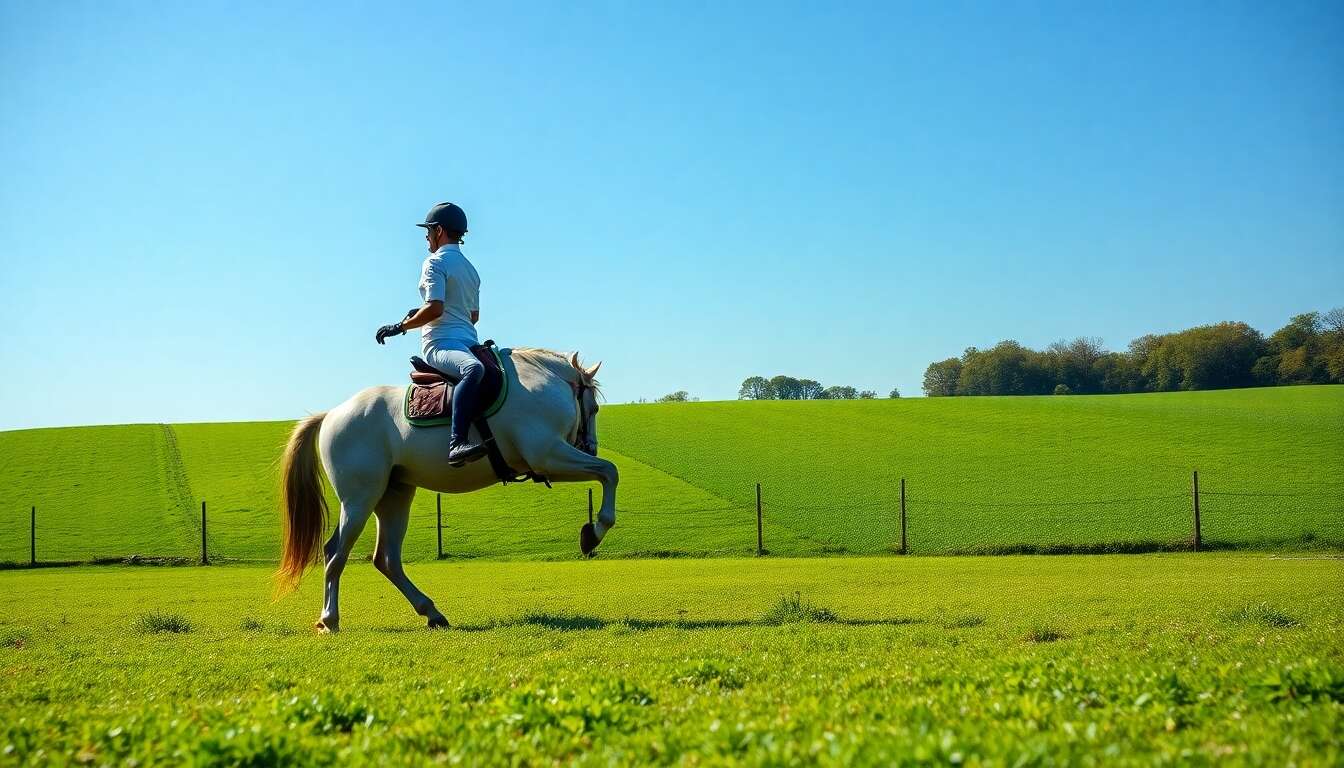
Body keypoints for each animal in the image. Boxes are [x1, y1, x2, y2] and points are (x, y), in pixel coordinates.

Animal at [275, 347, 615, 633]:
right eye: (595, 409)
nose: (590, 447)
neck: (538, 382)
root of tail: (332, 413)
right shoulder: (548, 456)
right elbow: (610, 472)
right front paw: (594, 532)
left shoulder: (550, 460)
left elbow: (606, 473)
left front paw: (592, 532)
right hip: (359, 500)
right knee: (336, 553)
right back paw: (329, 619)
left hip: (394, 497)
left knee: (386, 559)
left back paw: (432, 613)